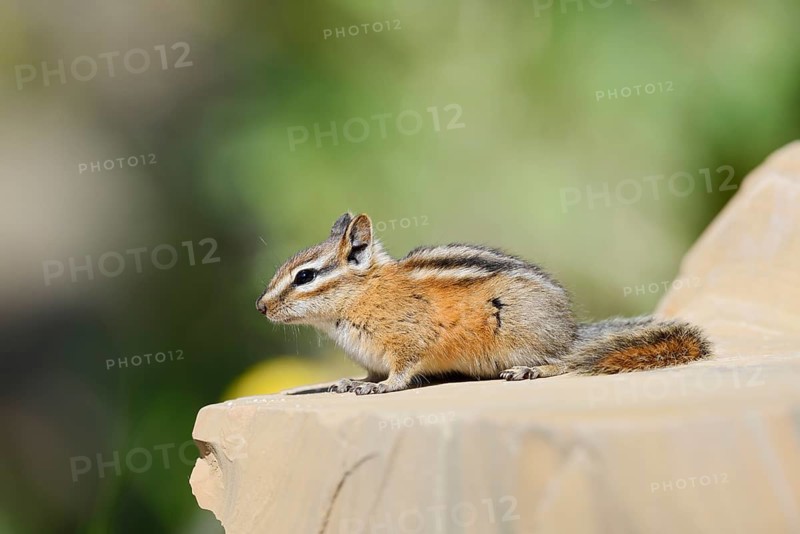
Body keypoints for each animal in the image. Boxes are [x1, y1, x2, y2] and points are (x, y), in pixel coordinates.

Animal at [256, 212, 712, 395]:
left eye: (305, 276)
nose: (259, 307)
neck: (363, 295)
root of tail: (571, 331)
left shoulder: (410, 339)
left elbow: (401, 372)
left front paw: (381, 387)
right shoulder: (371, 355)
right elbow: (368, 371)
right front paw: (352, 381)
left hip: (521, 335)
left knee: (566, 361)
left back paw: (533, 370)